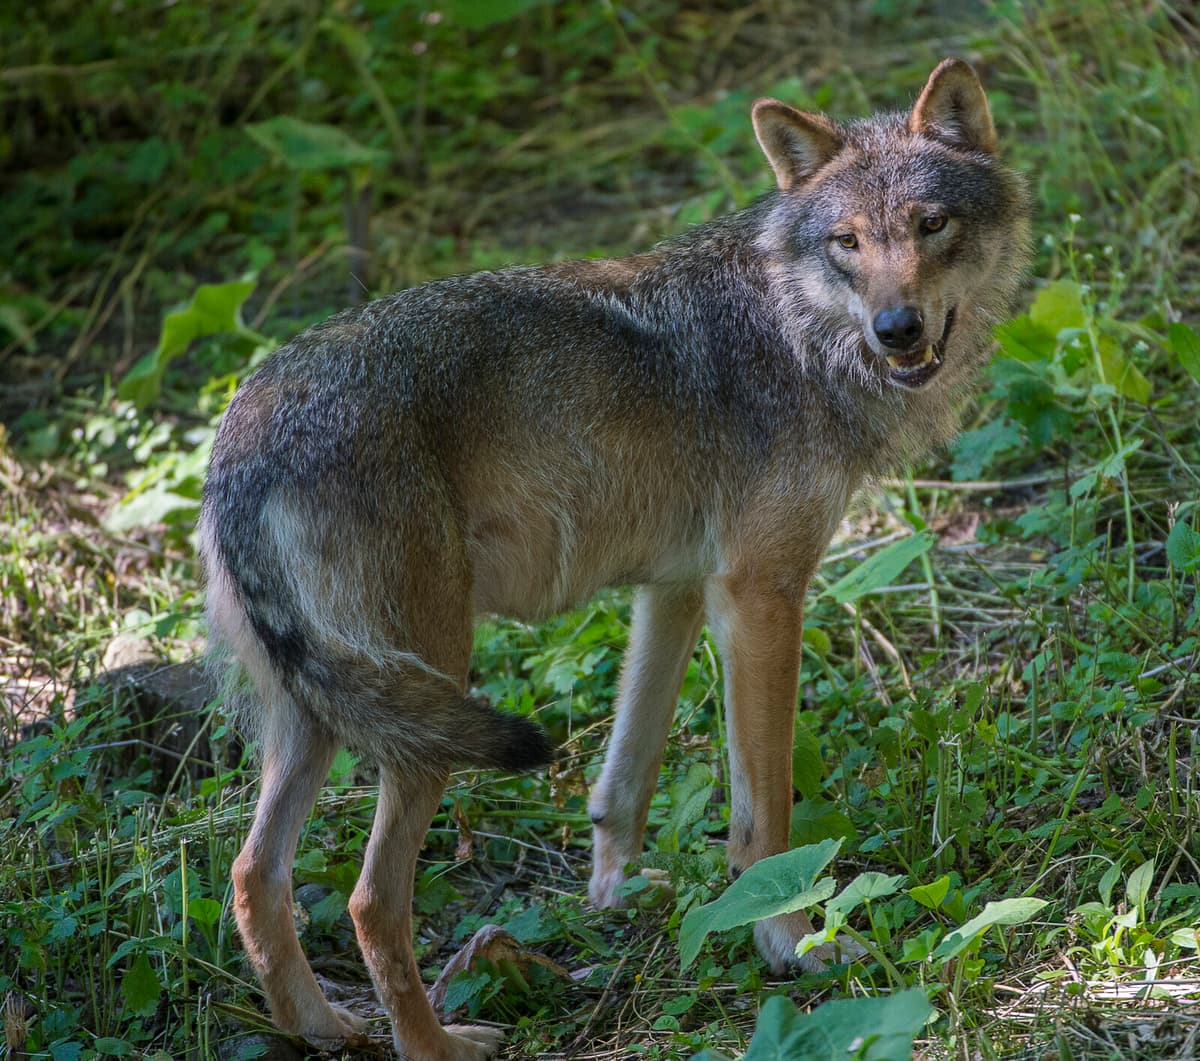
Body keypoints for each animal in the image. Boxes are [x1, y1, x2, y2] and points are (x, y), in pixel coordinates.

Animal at [200, 58, 1030, 1059]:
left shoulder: (674, 591)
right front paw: (789, 940)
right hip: (428, 694)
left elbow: (623, 780)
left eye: (931, 225)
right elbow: (765, 815)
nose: (897, 328)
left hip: (325, 711)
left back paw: (325, 1028)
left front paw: (618, 899)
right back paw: (440, 1043)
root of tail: (242, 438)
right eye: (848, 242)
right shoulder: (761, 595)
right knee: (368, 899)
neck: (796, 329)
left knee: (254, 875)